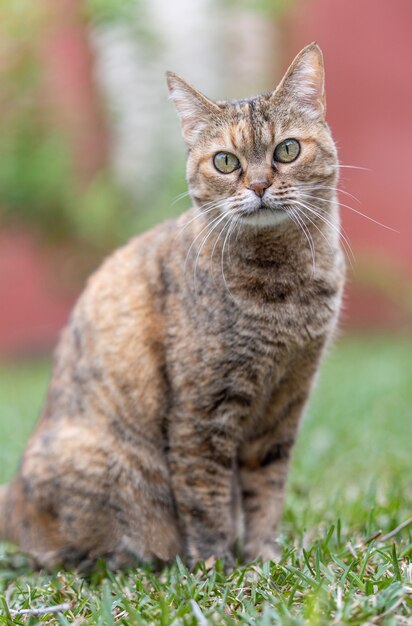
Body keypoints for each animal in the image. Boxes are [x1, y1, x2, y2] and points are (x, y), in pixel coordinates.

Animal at [0, 44, 344, 568]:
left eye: (287, 150)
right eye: (225, 161)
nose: (259, 185)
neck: (284, 289)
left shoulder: (284, 406)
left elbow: (266, 493)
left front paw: (264, 557)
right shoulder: (202, 413)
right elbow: (205, 498)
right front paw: (218, 566)